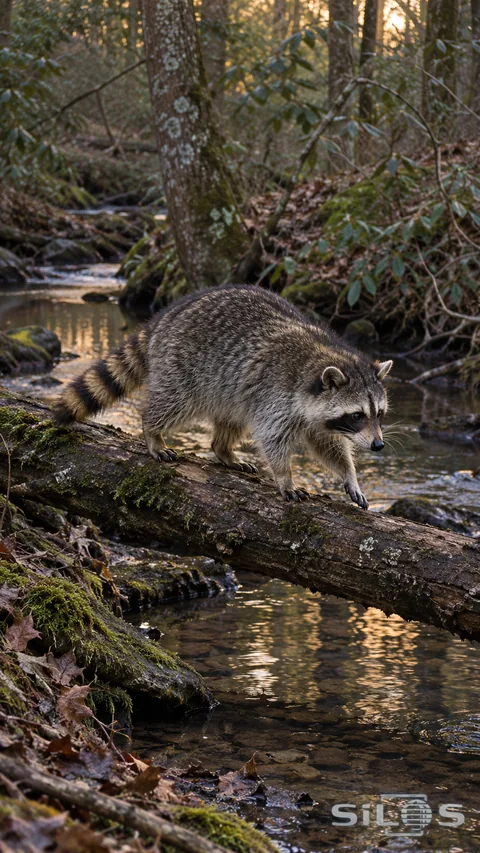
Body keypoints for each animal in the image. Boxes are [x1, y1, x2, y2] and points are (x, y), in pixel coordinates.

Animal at [54, 285, 392, 509]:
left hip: (232, 389)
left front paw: (349, 474)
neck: (324, 359)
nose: (378, 446)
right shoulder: (277, 394)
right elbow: (272, 438)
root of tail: (166, 316)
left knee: (232, 420)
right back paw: (152, 430)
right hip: (184, 366)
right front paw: (285, 476)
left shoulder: (313, 414)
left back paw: (224, 449)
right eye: (357, 415)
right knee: (173, 401)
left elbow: (327, 445)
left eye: (379, 414)